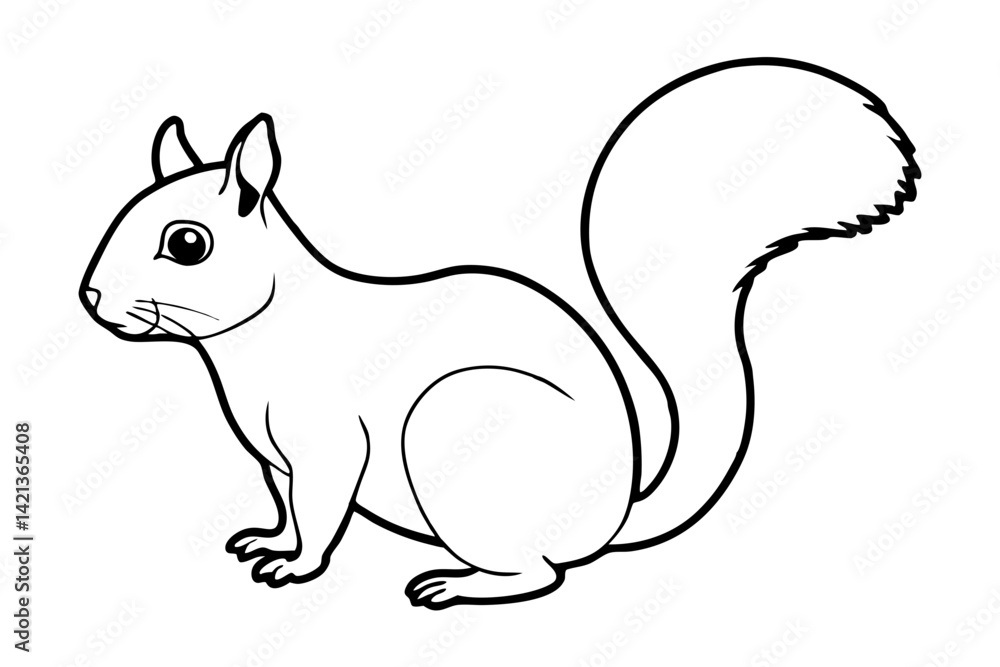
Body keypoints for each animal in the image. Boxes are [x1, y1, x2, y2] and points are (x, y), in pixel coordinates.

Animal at [80, 57, 919, 609]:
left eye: (188, 243)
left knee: (543, 574)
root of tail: (613, 518)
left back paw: (458, 583)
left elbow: (323, 509)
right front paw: (271, 542)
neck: (261, 336)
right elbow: (288, 506)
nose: (89, 297)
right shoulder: (276, 459)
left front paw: (300, 566)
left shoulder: (328, 443)